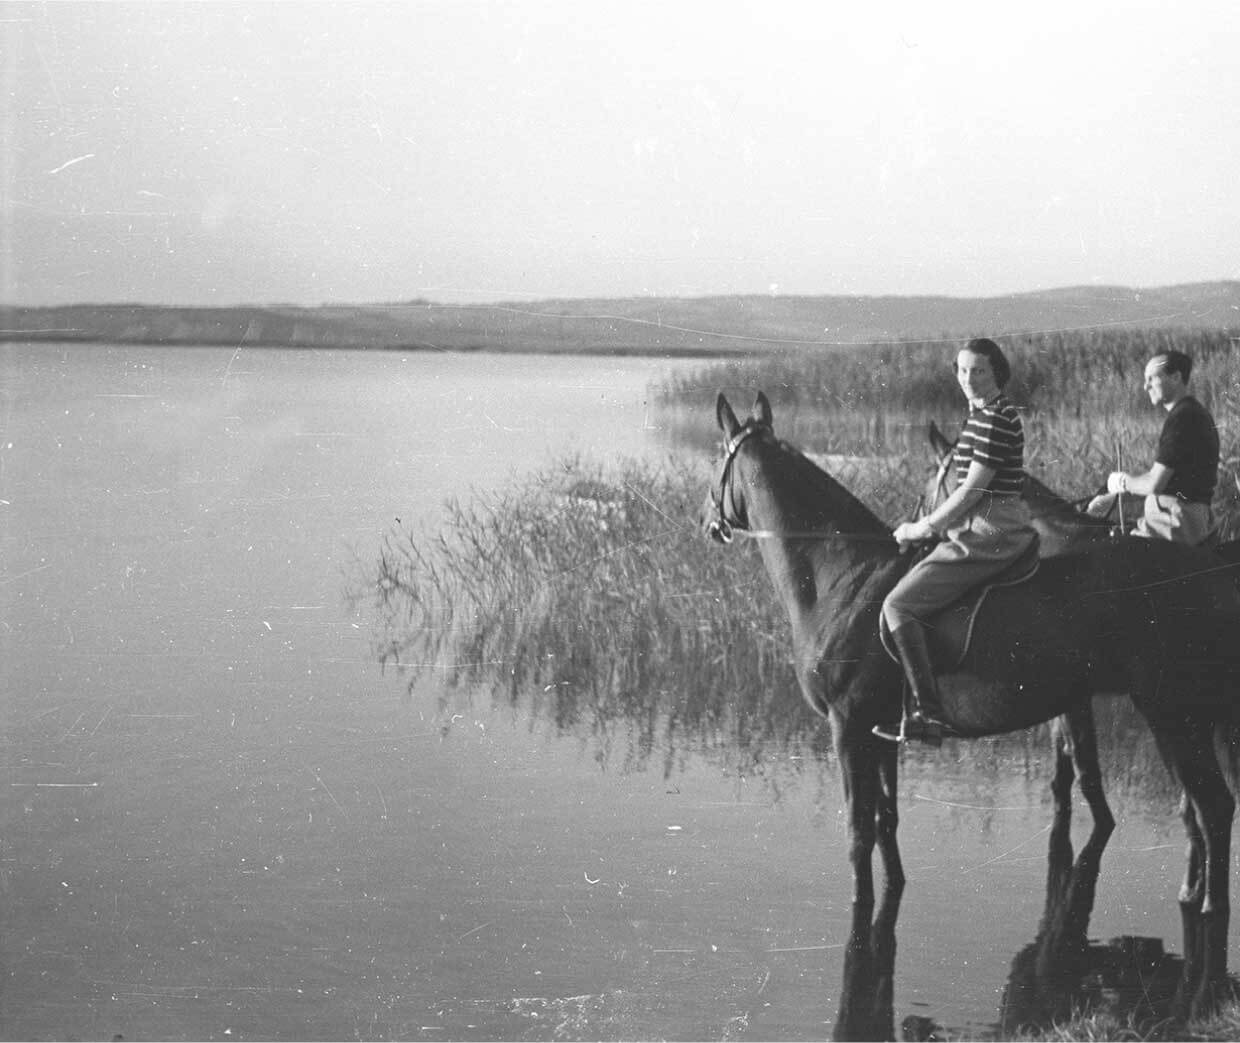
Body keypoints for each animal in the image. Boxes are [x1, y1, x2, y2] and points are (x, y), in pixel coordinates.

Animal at [704, 391, 1240, 1016]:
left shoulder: (848, 728)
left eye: (717, 462)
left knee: (1212, 806)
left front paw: (860, 907)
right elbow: (888, 819)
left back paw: (1208, 911)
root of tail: (1205, 573)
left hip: (1172, 713)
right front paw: (896, 887)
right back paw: (1192, 895)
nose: (708, 520)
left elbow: (860, 832)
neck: (842, 578)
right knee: (1200, 808)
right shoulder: (882, 731)